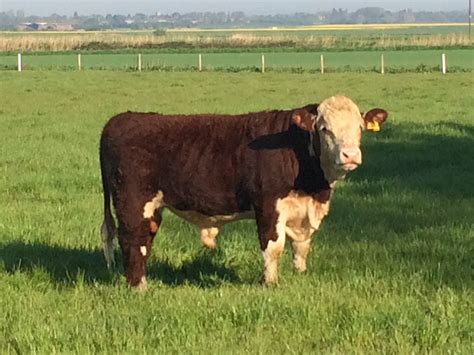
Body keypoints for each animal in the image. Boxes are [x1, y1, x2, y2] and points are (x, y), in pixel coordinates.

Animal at [98, 96, 386, 290]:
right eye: (324, 128)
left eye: (360, 128)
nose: (350, 155)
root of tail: (120, 119)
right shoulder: (268, 205)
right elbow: (273, 247)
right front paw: (270, 283)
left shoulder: (303, 212)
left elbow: (302, 247)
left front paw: (300, 274)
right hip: (133, 201)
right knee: (132, 240)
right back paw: (139, 288)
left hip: (153, 207)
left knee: (144, 240)